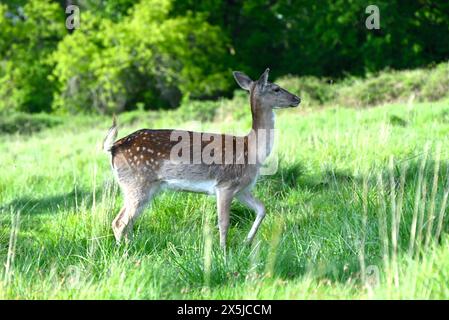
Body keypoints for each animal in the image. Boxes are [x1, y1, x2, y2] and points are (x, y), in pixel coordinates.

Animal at [103, 68, 300, 250]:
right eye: (276, 88)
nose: (297, 98)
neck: (251, 150)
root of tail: (113, 148)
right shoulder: (225, 184)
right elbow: (224, 222)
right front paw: (223, 252)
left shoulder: (242, 188)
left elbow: (262, 209)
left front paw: (247, 241)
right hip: (137, 183)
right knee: (119, 222)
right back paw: (125, 253)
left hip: (143, 187)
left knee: (126, 222)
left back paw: (131, 248)